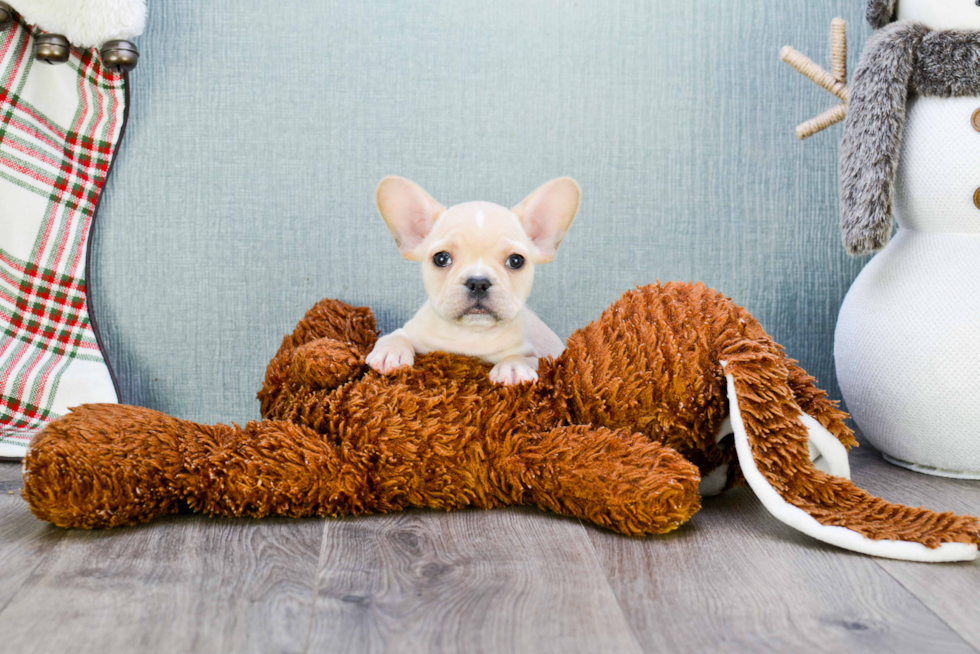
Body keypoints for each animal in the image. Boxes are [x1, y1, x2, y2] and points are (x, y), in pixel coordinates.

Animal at [368, 177, 580, 386]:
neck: (471, 333)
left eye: (516, 261)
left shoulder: (533, 353)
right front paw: (390, 352)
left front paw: (513, 367)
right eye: (441, 258)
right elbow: (395, 336)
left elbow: (522, 357)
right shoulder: (412, 331)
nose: (478, 282)